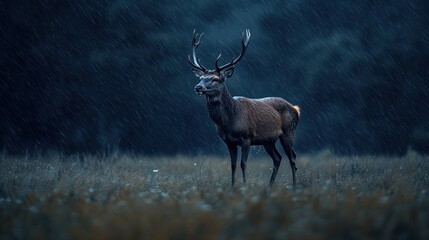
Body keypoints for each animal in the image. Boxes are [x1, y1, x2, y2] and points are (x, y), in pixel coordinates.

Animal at [189, 29, 300, 188]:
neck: (229, 121)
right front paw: (232, 187)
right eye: (200, 78)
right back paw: (269, 186)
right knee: (277, 158)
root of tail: (296, 109)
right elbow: (233, 165)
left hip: (288, 132)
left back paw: (295, 186)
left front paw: (245, 186)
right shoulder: (229, 141)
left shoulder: (247, 137)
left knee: (292, 158)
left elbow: (243, 164)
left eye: (215, 79)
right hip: (268, 140)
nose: (198, 87)